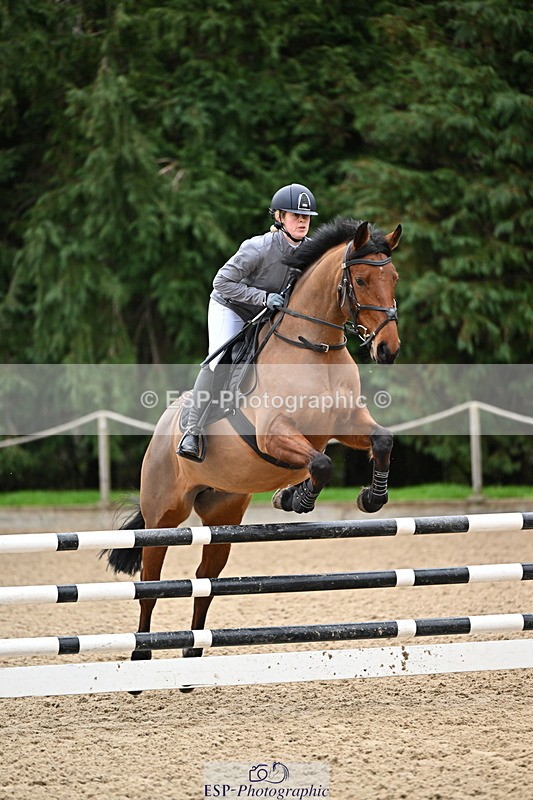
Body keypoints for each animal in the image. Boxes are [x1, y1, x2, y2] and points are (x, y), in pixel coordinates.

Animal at [104, 217, 402, 673]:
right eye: (363, 279)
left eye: (395, 278)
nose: (388, 350)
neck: (315, 346)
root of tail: (161, 432)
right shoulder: (275, 433)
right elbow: (321, 464)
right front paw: (298, 499)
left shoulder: (345, 422)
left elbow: (379, 440)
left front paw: (369, 497)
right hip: (163, 517)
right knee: (150, 586)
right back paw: (142, 656)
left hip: (221, 517)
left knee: (205, 582)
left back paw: (193, 655)